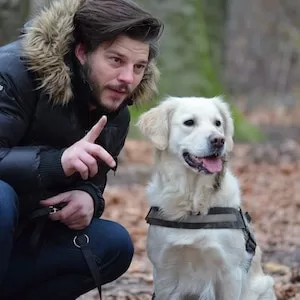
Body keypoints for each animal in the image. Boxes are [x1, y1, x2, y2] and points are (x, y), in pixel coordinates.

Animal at [137, 96, 276, 300]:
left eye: (217, 123)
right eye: (189, 122)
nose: (219, 140)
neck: (193, 204)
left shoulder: (230, 273)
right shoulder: (164, 274)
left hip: (263, 286)